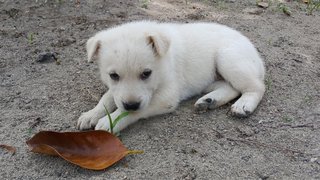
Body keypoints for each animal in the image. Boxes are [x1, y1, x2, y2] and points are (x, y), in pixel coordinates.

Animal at [77, 21, 264, 134]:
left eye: (146, 73)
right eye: (113, 75)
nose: (131, 104)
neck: (162, 66)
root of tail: (257, 55)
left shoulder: (166, 97)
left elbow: (127, 112)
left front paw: (109, 122)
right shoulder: (117, 91)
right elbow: (106, 98)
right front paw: (91, 114)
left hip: (229, 59)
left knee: (256, 87)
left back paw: (244, 104)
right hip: (213, 78)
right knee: (231, 87)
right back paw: (209, 100)